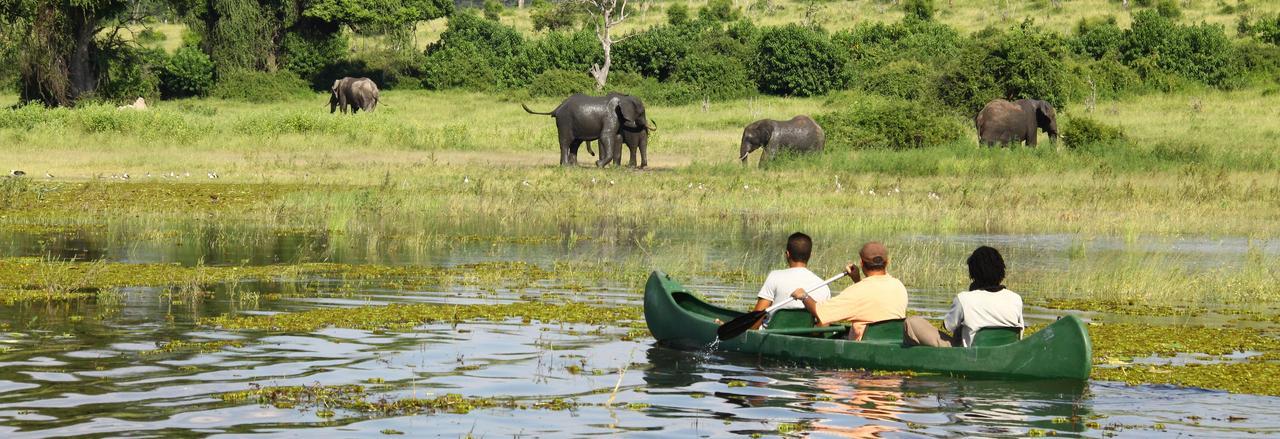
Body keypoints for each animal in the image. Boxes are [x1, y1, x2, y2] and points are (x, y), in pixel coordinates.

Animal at [522, 92, 655, 168]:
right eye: (642, 112)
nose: (650, 122)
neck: (624, 98)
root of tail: (558, 107)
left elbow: (617, 138)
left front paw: (615, 168)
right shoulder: (610, 116)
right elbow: (605, 136)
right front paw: (599, 164)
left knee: (575, 143)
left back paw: (575, 166)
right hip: (564, 121)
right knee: (565, 142)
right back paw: (566, 166)